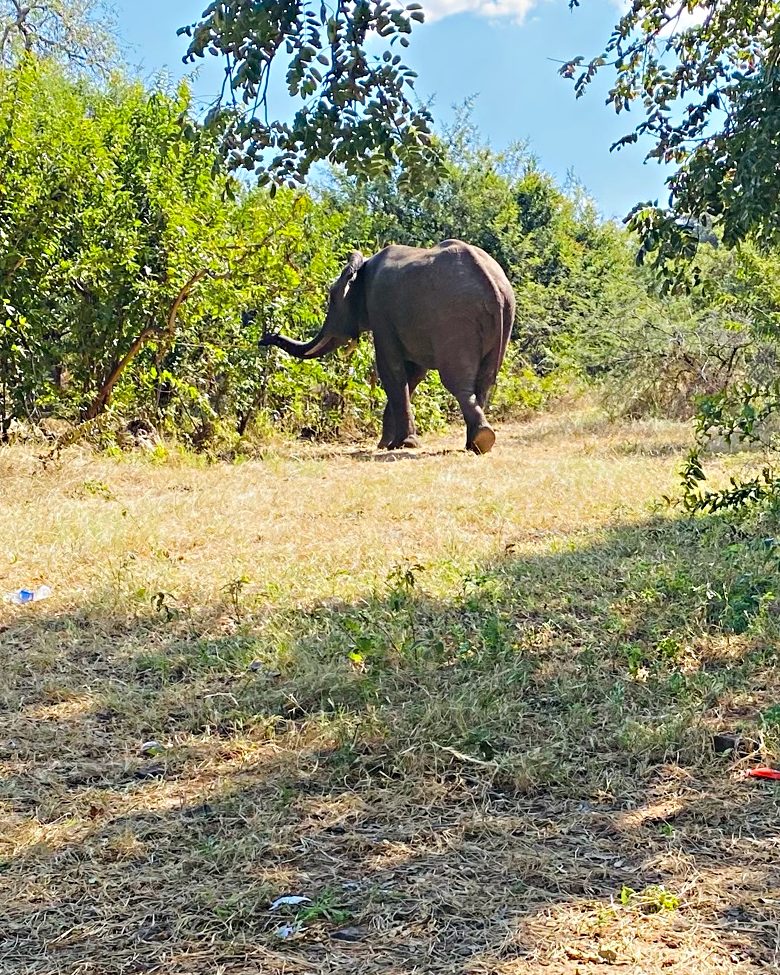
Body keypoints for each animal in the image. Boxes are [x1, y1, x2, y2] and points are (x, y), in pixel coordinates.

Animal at [259, 239, 515, 454]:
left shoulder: (380, 310)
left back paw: (482, 440)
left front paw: (400, 444)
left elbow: (390, 369)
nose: (263, 340)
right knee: (484, 381)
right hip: (502, 316)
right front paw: (388, 444)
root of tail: (492, 283)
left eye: (331, 297)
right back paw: (476, 444)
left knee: (457, 382)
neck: (363, 266)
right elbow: (414, 373)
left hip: (455, 319)